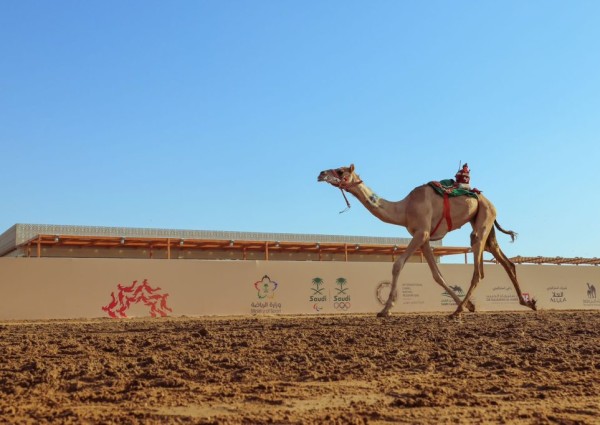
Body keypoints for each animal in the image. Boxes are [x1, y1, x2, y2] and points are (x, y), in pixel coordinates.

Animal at [316, 164, 536, 316]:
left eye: (340, 170)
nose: (320, 174)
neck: (404, 209)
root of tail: (488, 200)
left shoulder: (421, 232)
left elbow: (397, 264)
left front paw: (386, 309)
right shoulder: (425, 238)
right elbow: (437, 275)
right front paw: (470, 305)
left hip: (484, 219)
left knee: (479, 268)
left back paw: (457, 312)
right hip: (484, 222)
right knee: (505, 261)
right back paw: (528, 303)